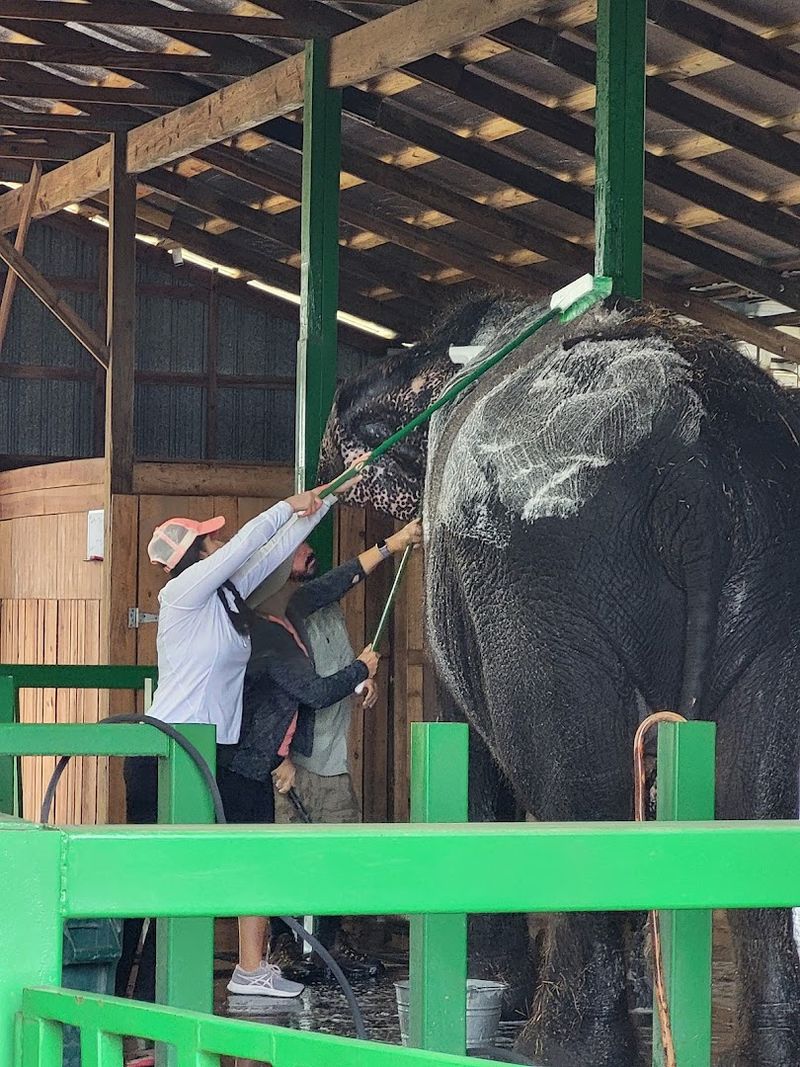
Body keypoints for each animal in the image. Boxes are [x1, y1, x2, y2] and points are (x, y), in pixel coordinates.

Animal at [318, 294, 800, 1067]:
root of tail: (693, 466)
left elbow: (466, 740)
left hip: (546, 576)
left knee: (580, 786)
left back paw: (556, 1045)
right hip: (771, 573)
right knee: (754, 794)